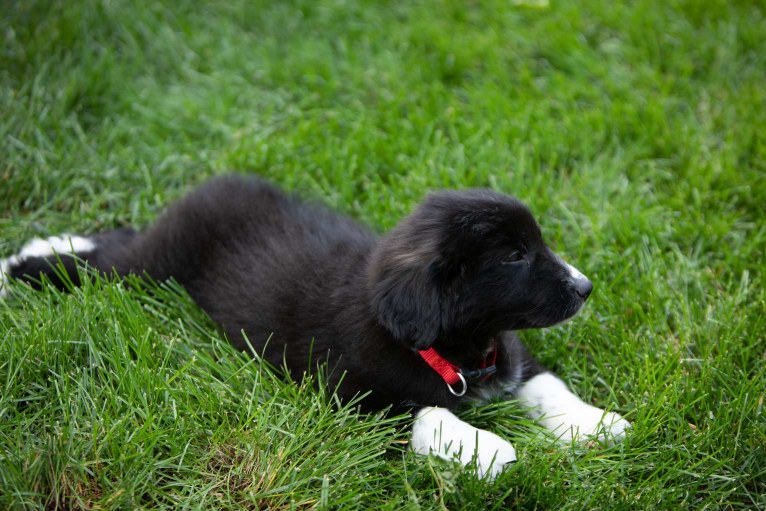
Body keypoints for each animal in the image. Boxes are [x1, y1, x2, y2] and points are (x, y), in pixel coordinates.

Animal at [1, 175, 632, 480]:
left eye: (536, 244)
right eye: (514, 256)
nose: (585, 287)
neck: (451, 350)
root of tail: (206, 187)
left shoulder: (510, 355)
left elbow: (545, 384)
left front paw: (595, 424)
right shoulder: (354, 397)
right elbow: (425, 414)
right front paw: (487, 448)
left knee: (115, 238)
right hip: (154, 268)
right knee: (104, 264)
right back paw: (22, 263)